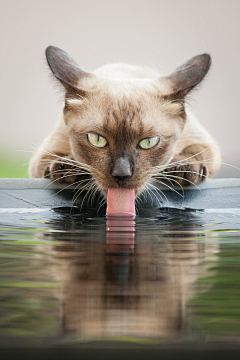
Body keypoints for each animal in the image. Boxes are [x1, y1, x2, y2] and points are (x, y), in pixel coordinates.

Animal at [28, 45, 221, 200]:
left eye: (148, 142)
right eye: (97, 140)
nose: (121, 175)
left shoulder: (204, 143)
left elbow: (195, 151)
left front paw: (181, 170)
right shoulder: (43, 155)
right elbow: (53, 159)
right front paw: (69, 169)